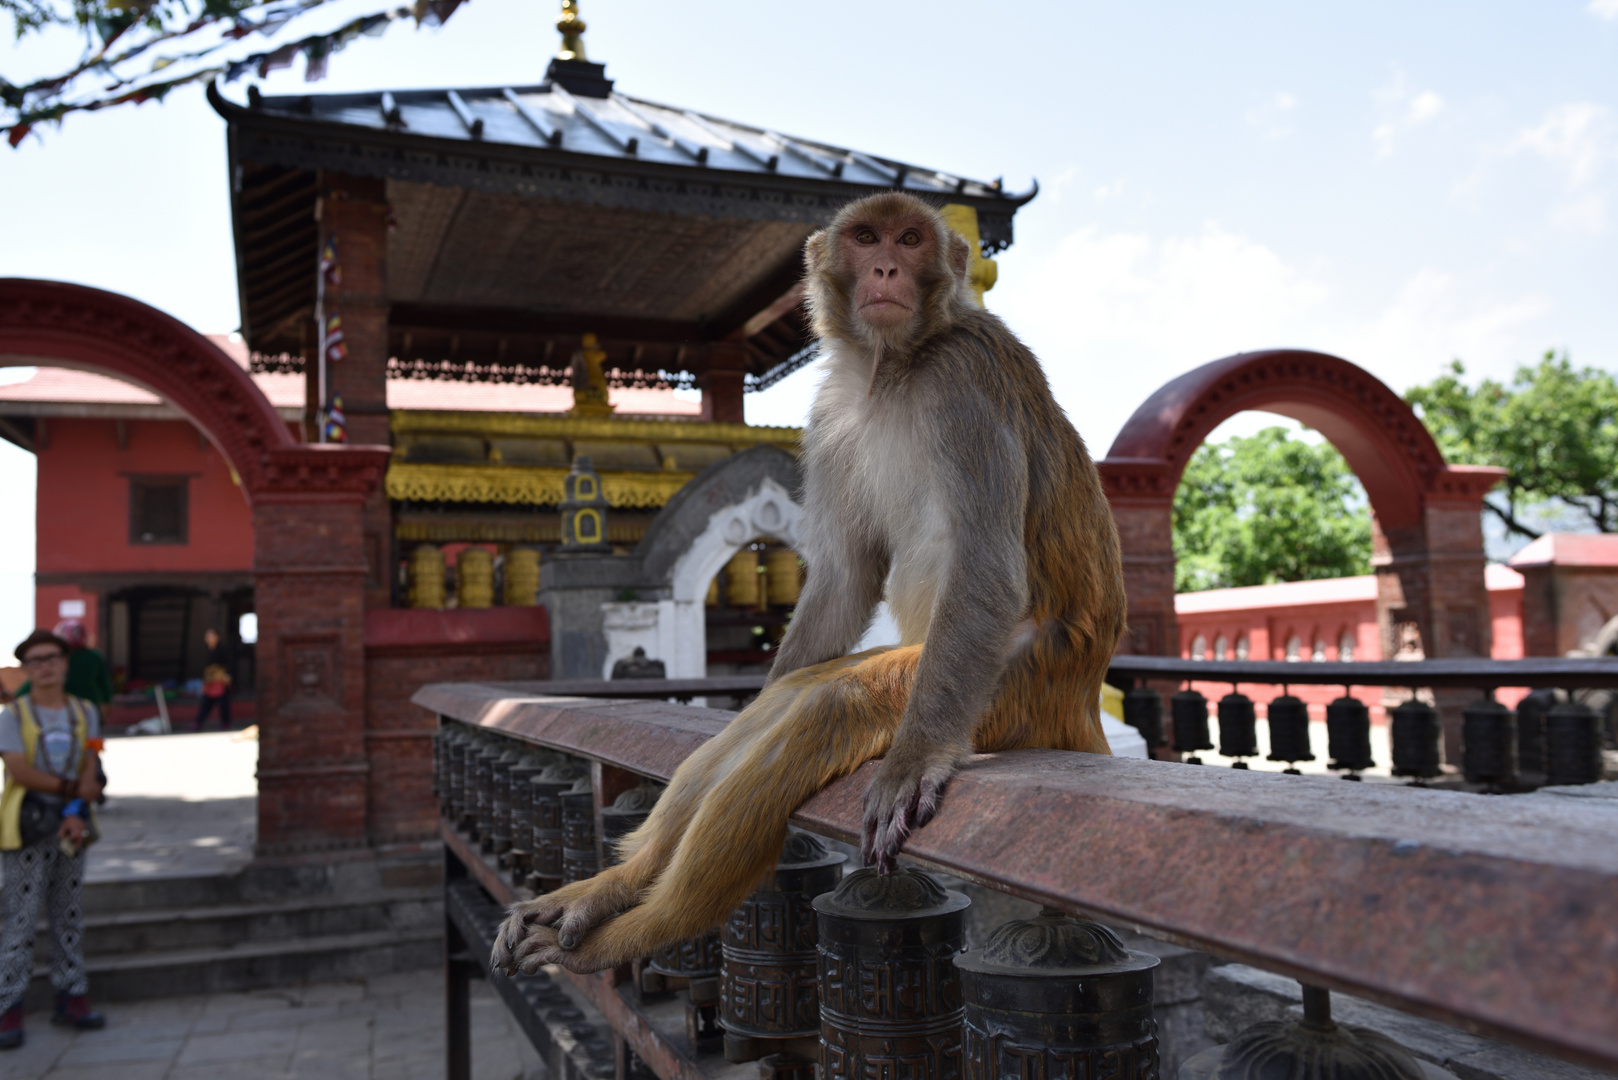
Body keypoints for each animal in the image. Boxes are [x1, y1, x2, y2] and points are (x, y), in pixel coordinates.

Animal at [491, 190, 1126, 977]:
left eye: (910, 240)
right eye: (866, 238)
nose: (885, 268)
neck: (893, 367)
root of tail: (1085, 693)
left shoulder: (966, 377)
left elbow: (983, 565)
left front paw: (914, 759)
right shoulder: (830, 416)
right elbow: (848, 572)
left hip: (1013, 684)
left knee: (832, 706)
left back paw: (641, 928)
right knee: (787, 701)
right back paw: (614, 889)